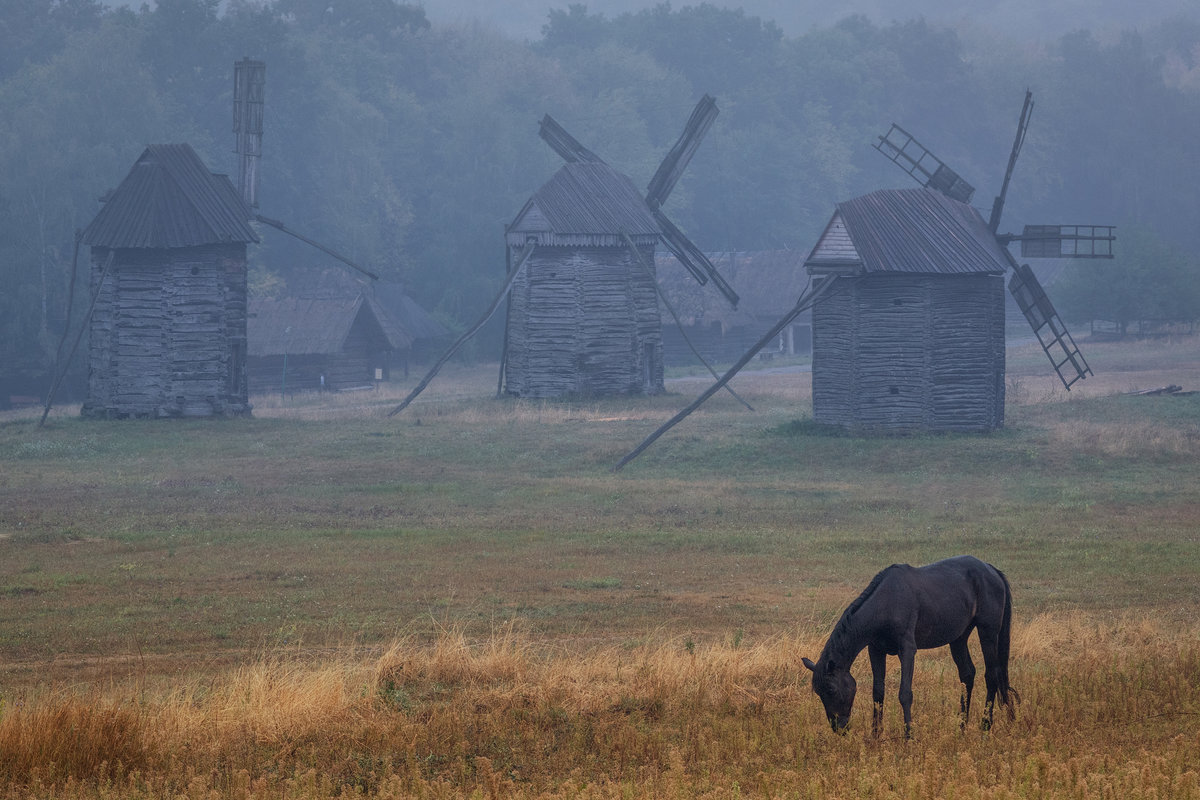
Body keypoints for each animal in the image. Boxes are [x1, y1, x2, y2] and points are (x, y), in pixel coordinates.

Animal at [801, 556, 1017, 738]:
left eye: (831, 690)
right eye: (819, 692)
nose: (838, 727)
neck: (886, 603)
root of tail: (991, 570)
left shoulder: (907, 651)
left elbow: (905, 693)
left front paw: (908, 736)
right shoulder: (875, 651)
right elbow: (878, 692)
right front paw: (875, 736)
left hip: (988, 632)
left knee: (991, 675)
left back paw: (985, 726)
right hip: (958, 638)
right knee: (967, 675)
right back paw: (962, 727)